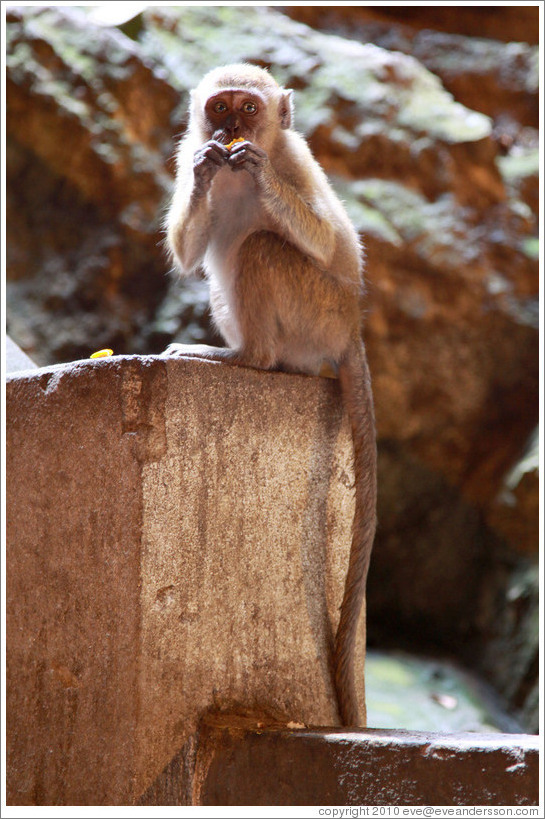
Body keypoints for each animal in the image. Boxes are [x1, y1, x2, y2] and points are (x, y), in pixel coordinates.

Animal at [163, 64, 374, 728]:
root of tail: (350, 329)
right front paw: (208, 166)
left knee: (261, 248)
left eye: (248, 110)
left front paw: (255, 168)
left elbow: (332, 244)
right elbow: (186, 254)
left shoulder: (297, 160)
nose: (229, 127)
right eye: (219, 107)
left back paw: (245, 359)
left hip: (319, 312)